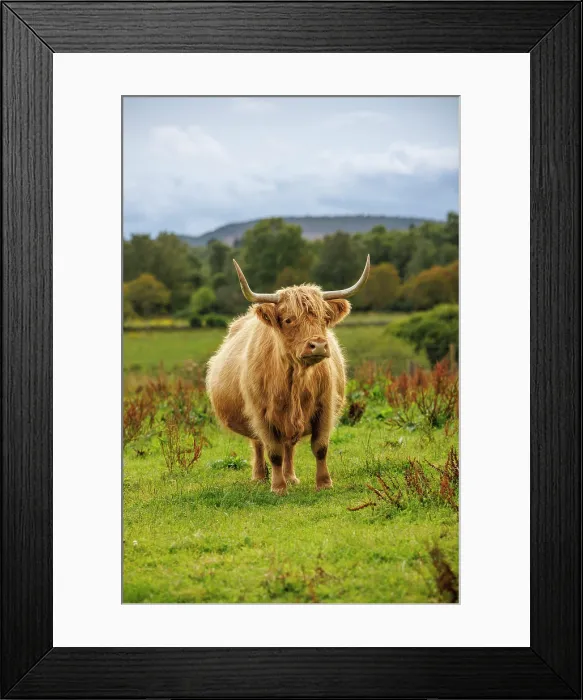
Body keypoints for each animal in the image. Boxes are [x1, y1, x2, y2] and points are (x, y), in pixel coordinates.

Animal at [206, 256, 370, 494]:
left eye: (323, 318)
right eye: (288, 320)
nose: (318, 345)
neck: (296, 380)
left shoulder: (325, 406)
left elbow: (320, 447)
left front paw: (324, 483)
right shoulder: (261, 413)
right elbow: (273, 452)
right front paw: (278, 488)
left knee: (289, 446)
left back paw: (291, 476)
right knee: (259, 444)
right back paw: (259, 477)